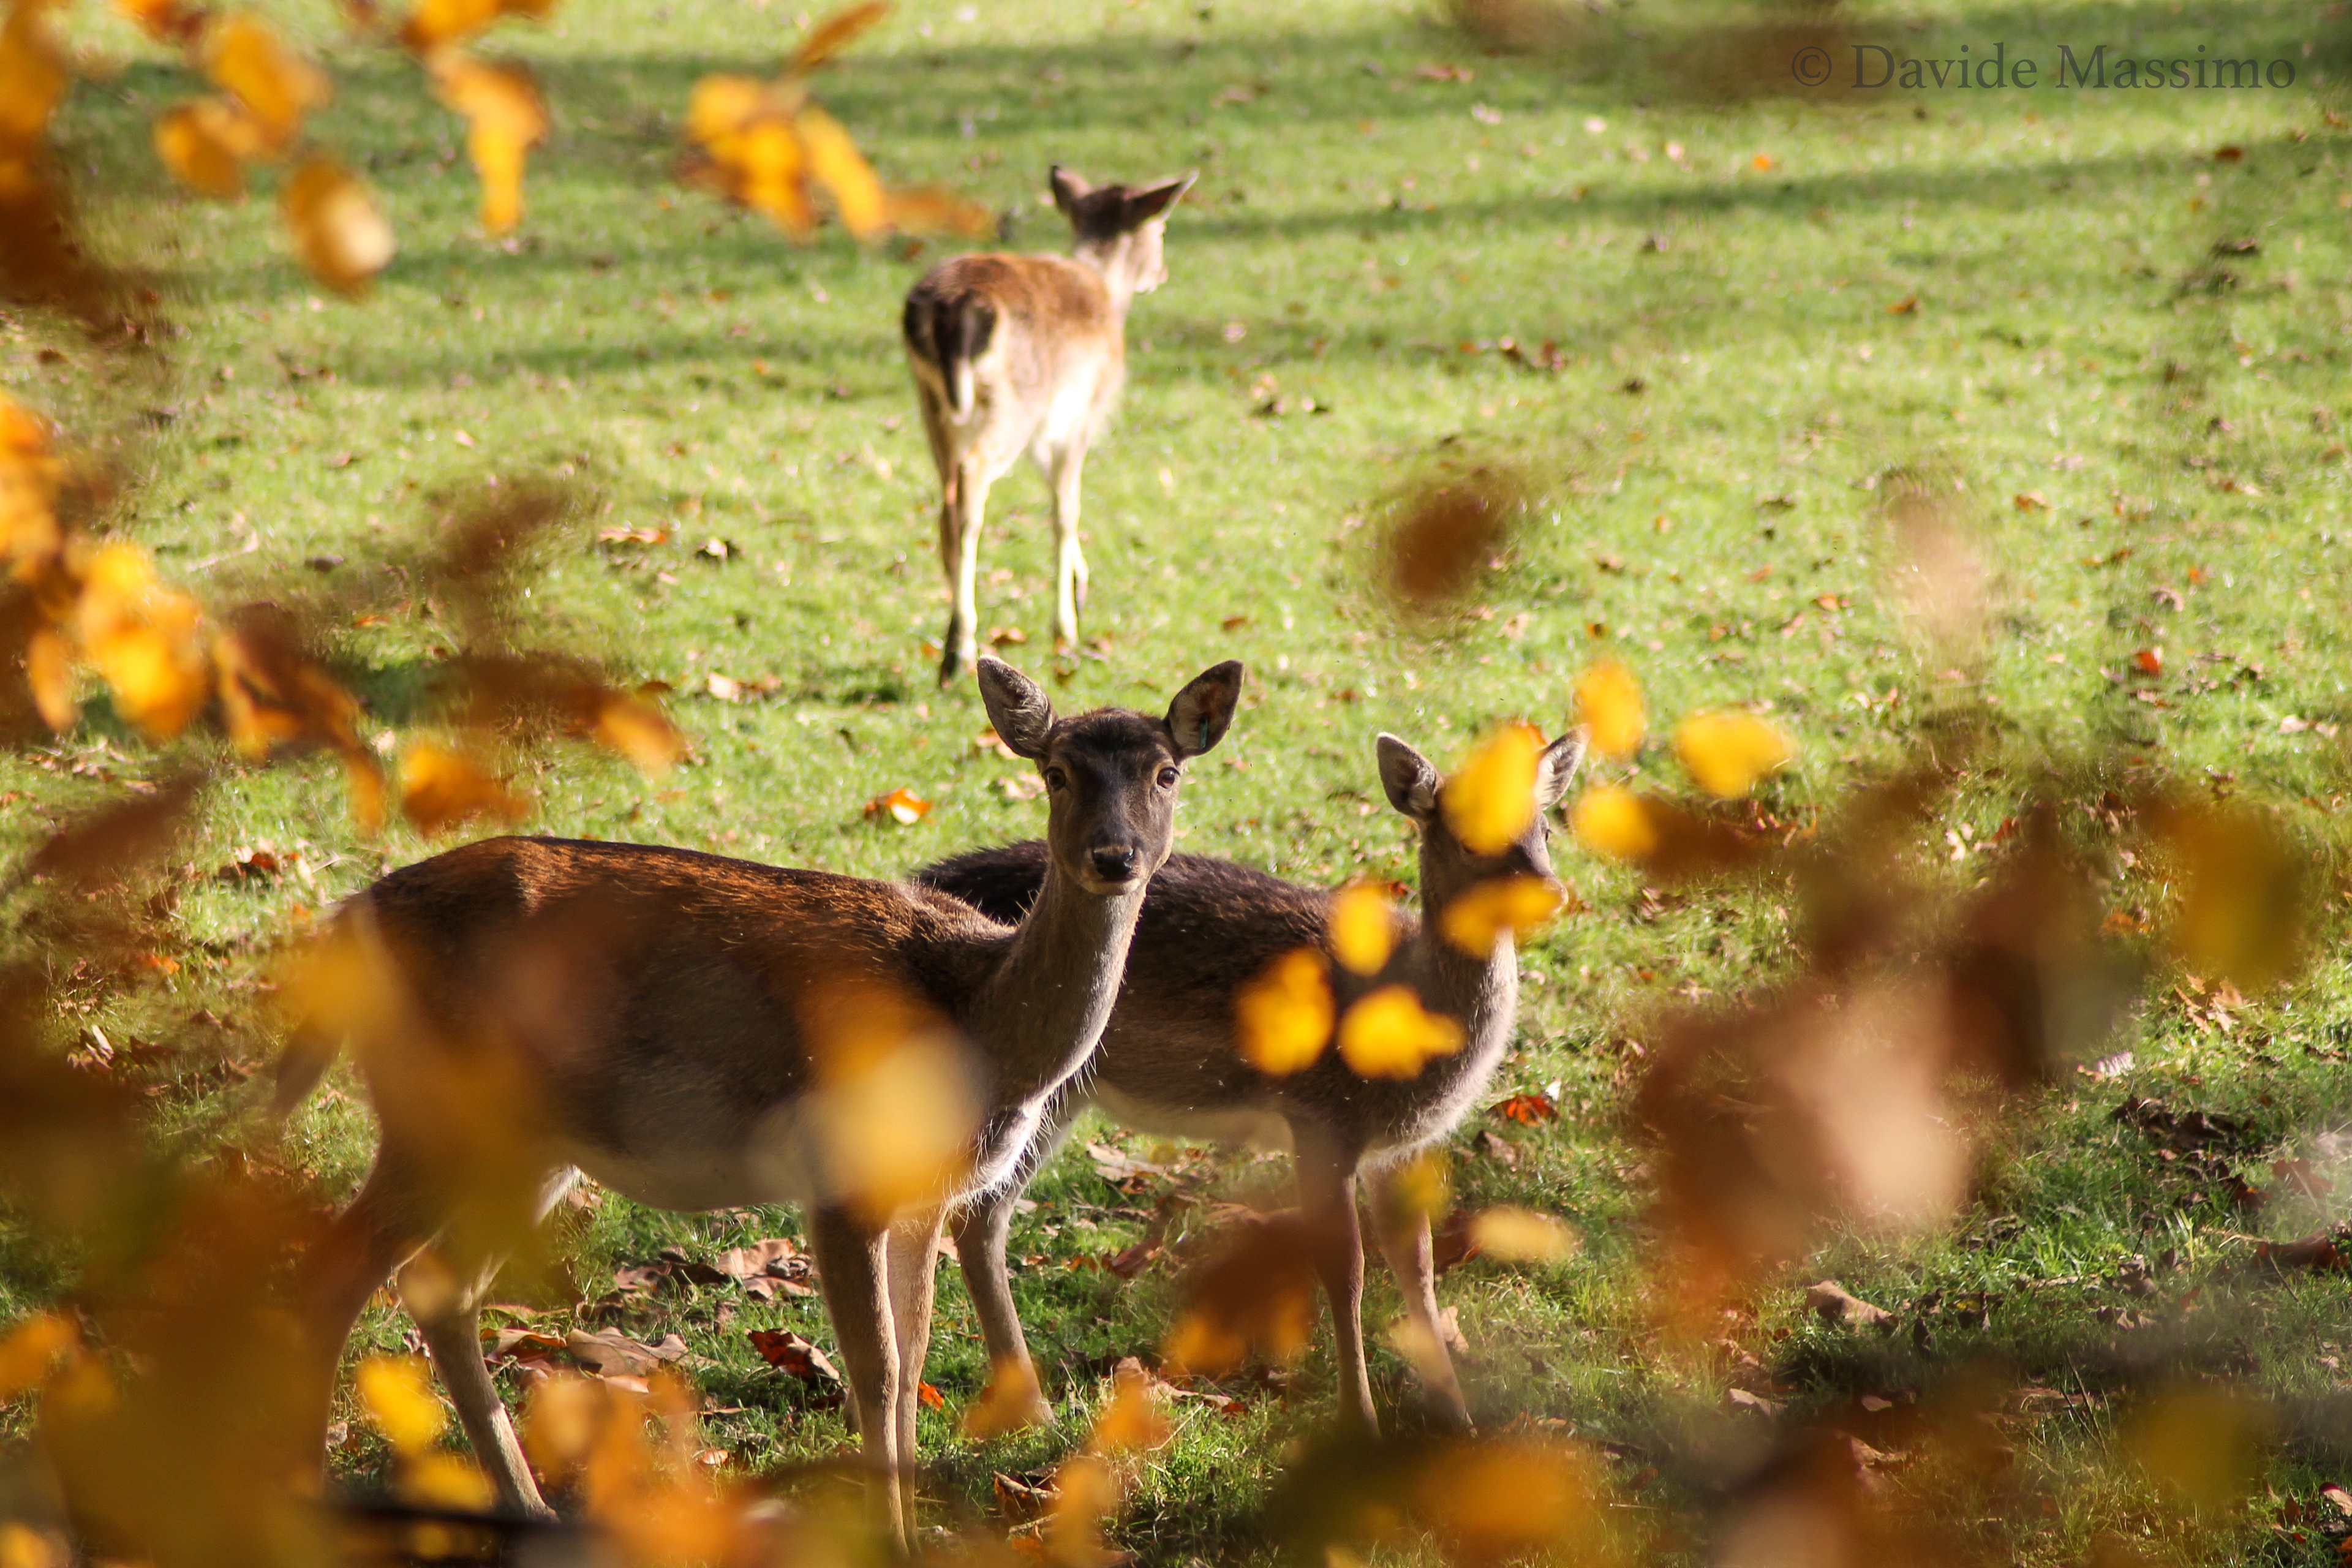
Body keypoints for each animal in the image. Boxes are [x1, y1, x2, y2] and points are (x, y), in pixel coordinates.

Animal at [275, 657, 1243, 1548]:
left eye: (1167, 772)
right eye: (1057, 772)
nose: (1114, 856)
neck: (975, 1015)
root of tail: (347, 920)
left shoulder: (925, 1197)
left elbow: (915, 1358)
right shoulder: (839, 1178)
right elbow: (876, 1372)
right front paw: (887, 1541)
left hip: (527, 1146)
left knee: (441, 1286)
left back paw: (527, 1505)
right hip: (432, 1114)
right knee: (335, 1270)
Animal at [902, 164, 1196, 687]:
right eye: (1160, 228)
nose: (1160, 273)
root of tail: (952, 310)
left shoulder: (1047, 430)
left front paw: (1081, 586)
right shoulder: (1079, 415)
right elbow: (1066, 508)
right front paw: (1067, 628)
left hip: (932, 405)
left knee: (946, 502)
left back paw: (952, 643)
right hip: (1014, 403)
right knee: (972, 486)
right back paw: (960, 648)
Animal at [913, 726, 1587, 1436]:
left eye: (1545, 826)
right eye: (1466, 838)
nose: (1552, 893)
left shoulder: (1400, 1146)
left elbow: (1419, 1269)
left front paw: (1458, 1420)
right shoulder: (1320, 1116)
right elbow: (1345, 1270)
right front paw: (1360, 1422)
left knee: (982, 1217)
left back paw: (1031, 1407)